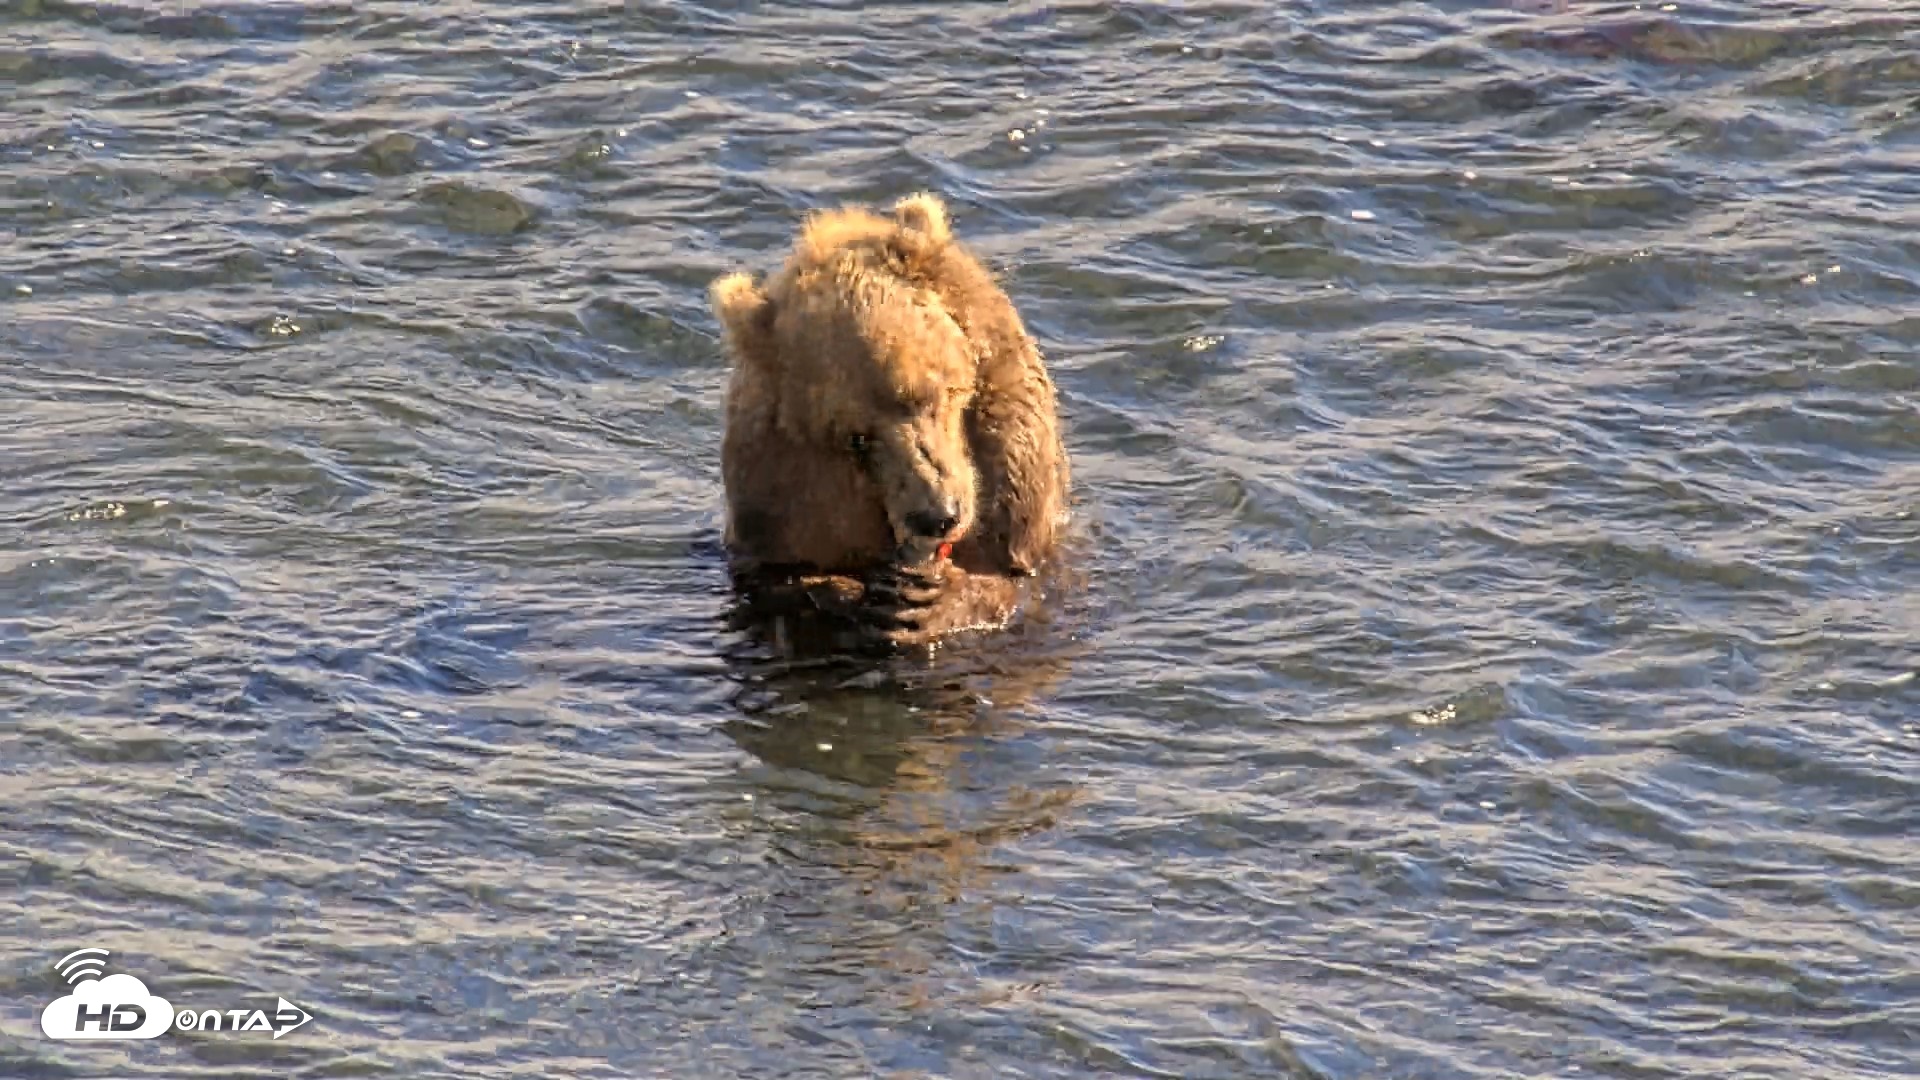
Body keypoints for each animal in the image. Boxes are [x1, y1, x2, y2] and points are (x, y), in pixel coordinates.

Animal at [709, 192, 1069, 650]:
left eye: (931, 394)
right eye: (856, 437)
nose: (938, 516)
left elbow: (1015, 575)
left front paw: (925, 601)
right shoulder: (777, 500)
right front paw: (852, 593)